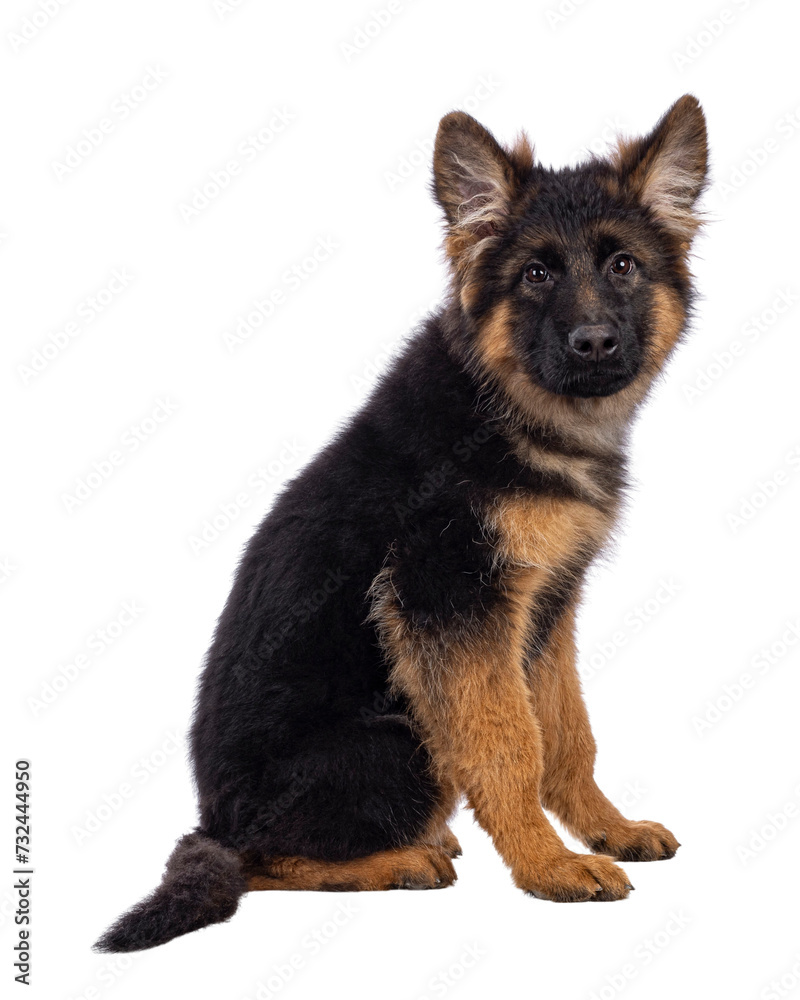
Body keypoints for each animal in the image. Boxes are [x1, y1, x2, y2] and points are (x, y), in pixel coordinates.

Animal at [95, 94, 708, 952]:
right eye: (536, 274)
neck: (509, 408)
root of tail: (215, 822)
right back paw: (401, 858)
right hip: (399, 741)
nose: (594, 344)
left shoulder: (546, 609)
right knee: (261, 861)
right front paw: (547, 866)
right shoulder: (450, 601)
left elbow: (565, 731)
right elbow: (509, 744)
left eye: (623, 266)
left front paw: (604, 828)